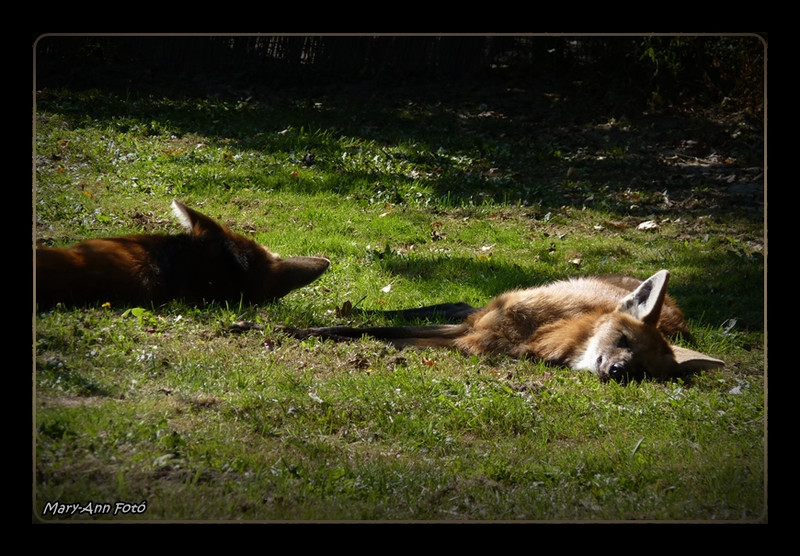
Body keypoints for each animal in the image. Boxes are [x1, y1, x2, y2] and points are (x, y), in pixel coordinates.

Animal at [284, 270, 720, 382]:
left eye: (643, 371)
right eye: (623, 339)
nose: (617, 370)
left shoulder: (469, 342)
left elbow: (386, 337)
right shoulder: (478, 329)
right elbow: (370, 331)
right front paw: (295, 330)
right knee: (457, 305)